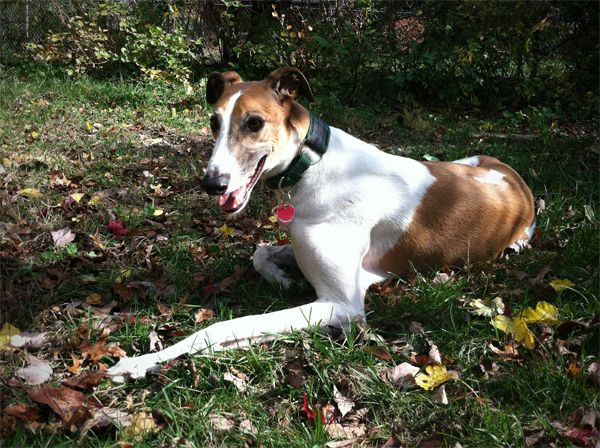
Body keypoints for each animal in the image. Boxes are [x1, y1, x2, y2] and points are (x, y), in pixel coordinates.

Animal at [108, 66, 536, 382]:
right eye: (214, 122)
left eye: (254, 123)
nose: (213, 184)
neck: (314, 165)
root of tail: (518, 182)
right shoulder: (300, 242)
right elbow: (259, 253)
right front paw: (281, 279)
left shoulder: (342, 304)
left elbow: (221, 328)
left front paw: (139, 362)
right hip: (466, 160)